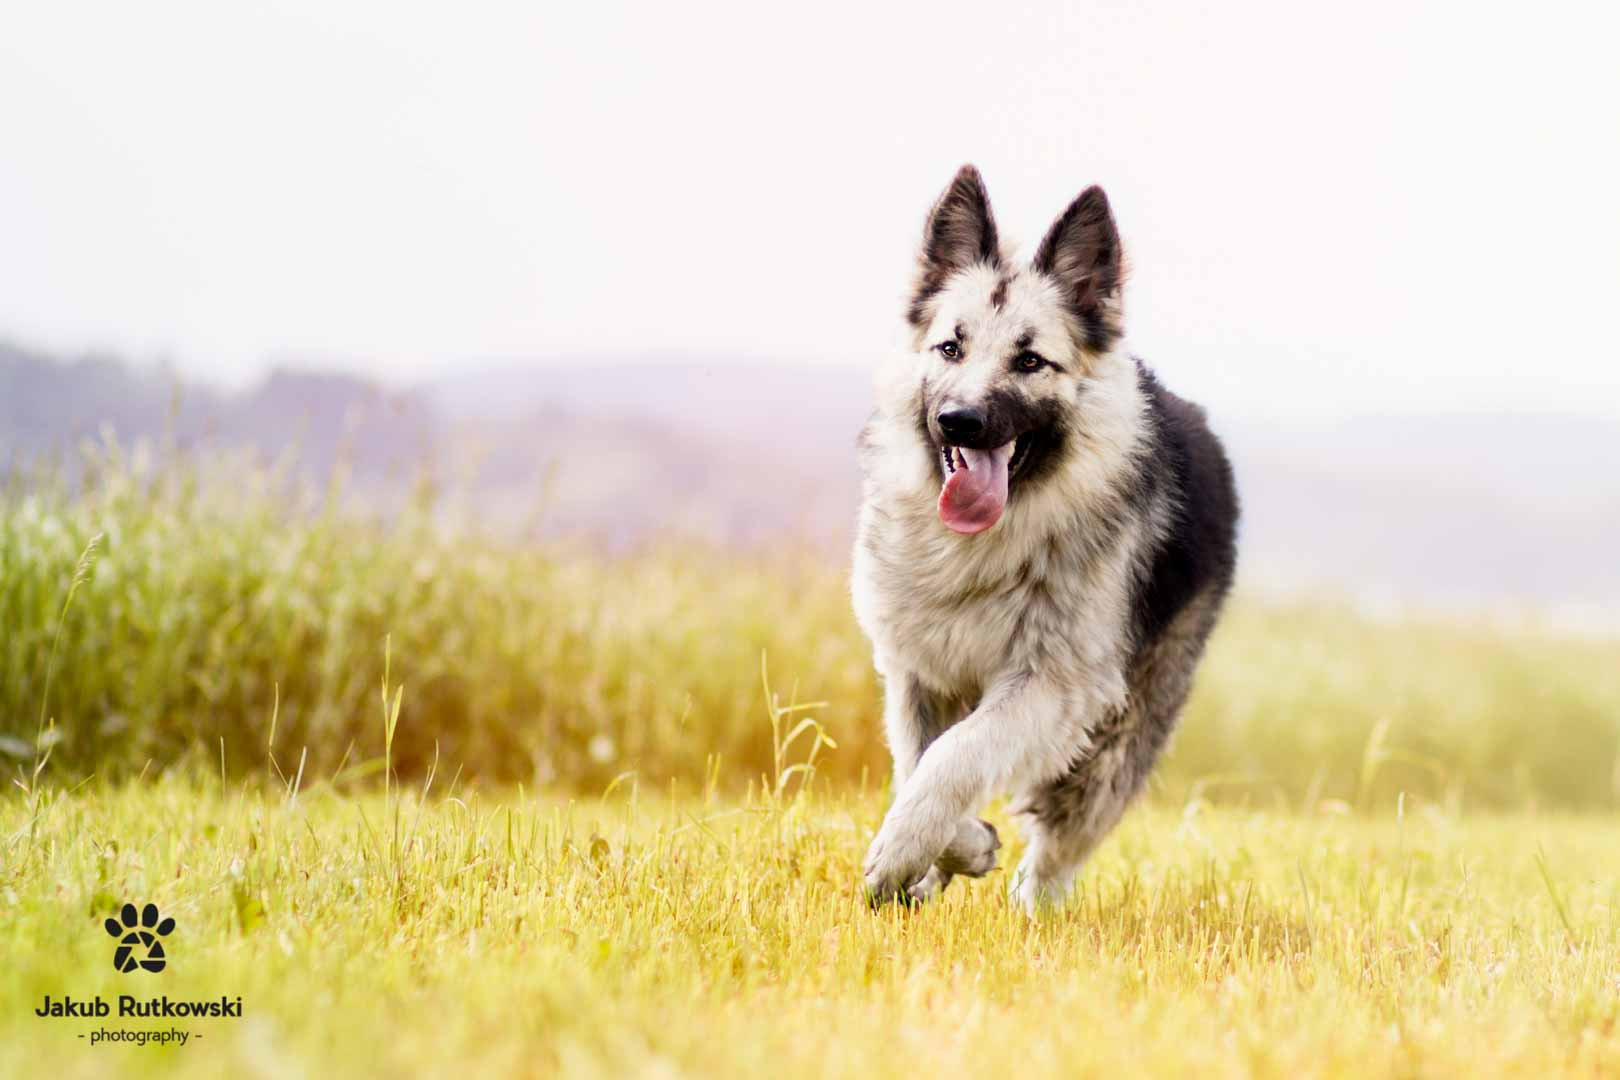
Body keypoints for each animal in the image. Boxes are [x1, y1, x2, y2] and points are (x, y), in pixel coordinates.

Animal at [855, 166, 1231, 913]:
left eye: (1030, 361)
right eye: (951, 348)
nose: (960, 420)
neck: (983, 547)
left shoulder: (1053, 684)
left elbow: (957, 755)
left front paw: (905, 850)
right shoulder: (916, 673)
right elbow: (919, 761)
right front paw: (953, 847)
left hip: (1116, 742)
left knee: (1059, 851)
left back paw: (1036, 914)